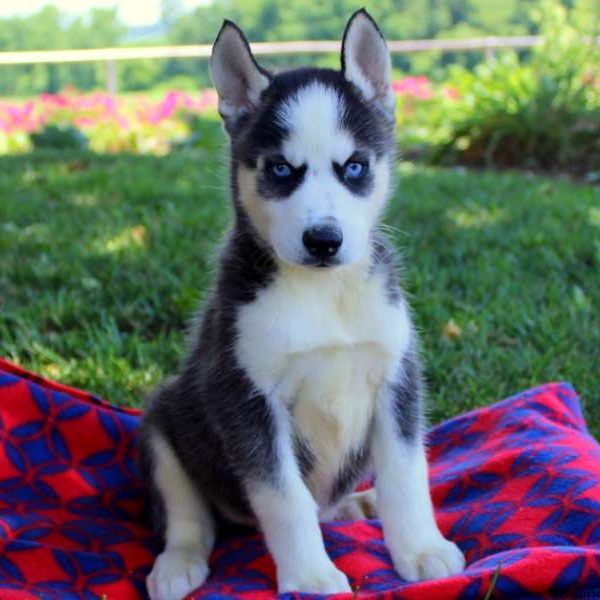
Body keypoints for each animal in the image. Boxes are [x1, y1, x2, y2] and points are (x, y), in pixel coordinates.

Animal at [139, 10, 464, 600]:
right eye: (281, 170)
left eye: (354, 167)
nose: (324, 240)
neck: (325, 295)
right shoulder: (245, 396)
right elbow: (285, 499)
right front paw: (311, 577)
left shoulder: (397, 379)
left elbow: (407, 476)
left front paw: (421, 549)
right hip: (163, 420)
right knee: (189, 515)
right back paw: (178, 562)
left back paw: (357, 504)